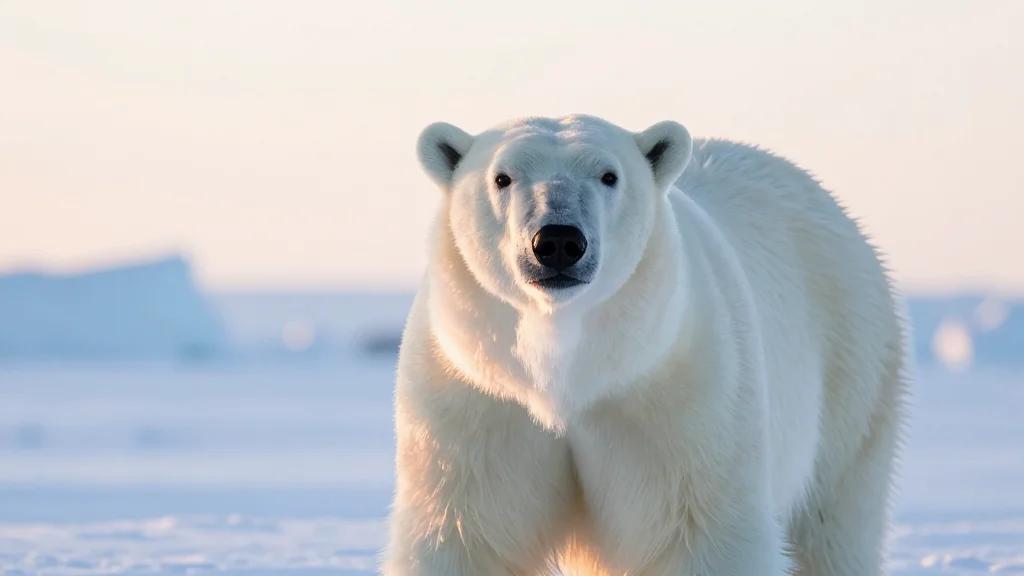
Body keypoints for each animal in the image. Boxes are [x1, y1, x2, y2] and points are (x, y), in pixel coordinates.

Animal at [383, 115, 907, 575]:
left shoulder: (677, 394)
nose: (557, 240)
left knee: (833, 524)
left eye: (609, 175)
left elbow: (701, 532)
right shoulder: (476, 398)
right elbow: (466, 533)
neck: (570, 371)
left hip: (850, 371)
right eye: (502, 177)